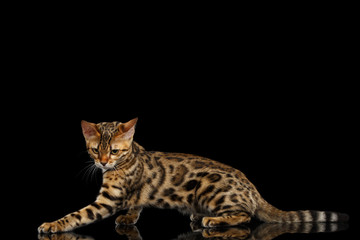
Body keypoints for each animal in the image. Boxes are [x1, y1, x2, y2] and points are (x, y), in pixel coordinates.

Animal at [38, 117, 348, 233]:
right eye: (94, 150)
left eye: (114, 151)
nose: (102, 164)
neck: (130, 157)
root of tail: (254, 190)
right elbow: (136, 204)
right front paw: (129, 217)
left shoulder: (107, 201)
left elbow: (78, 215)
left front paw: (53, 224)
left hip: (213, 189)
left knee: (245, 215)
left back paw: (213, 220)